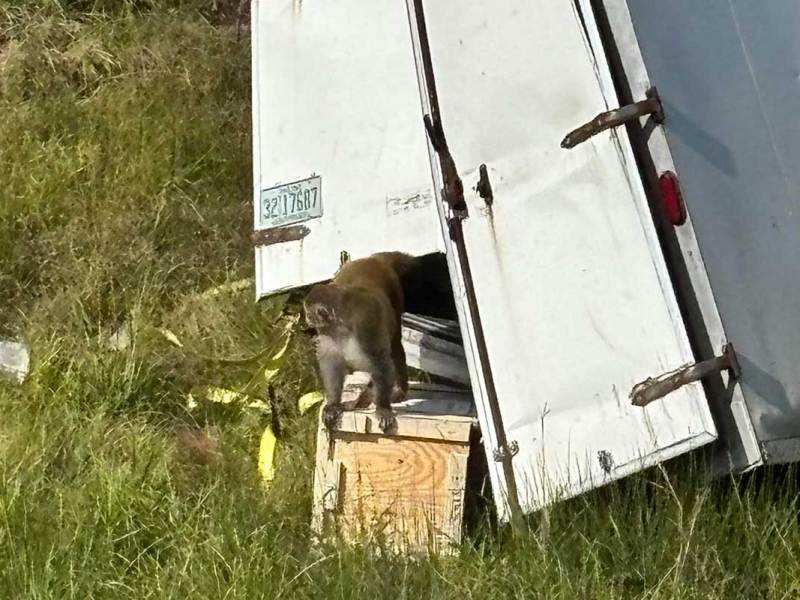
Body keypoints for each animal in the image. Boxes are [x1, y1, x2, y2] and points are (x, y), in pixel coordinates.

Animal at [303, 252, 415, 433]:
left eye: (308, 313)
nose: (307, 319)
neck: (341, 323)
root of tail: (372, 259)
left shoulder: (364, 325)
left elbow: (380, 362)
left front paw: (383, 408)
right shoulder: (328, 332)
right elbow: (332, 364)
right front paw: (333, 404)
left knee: (395, 345)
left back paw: (399, 389)